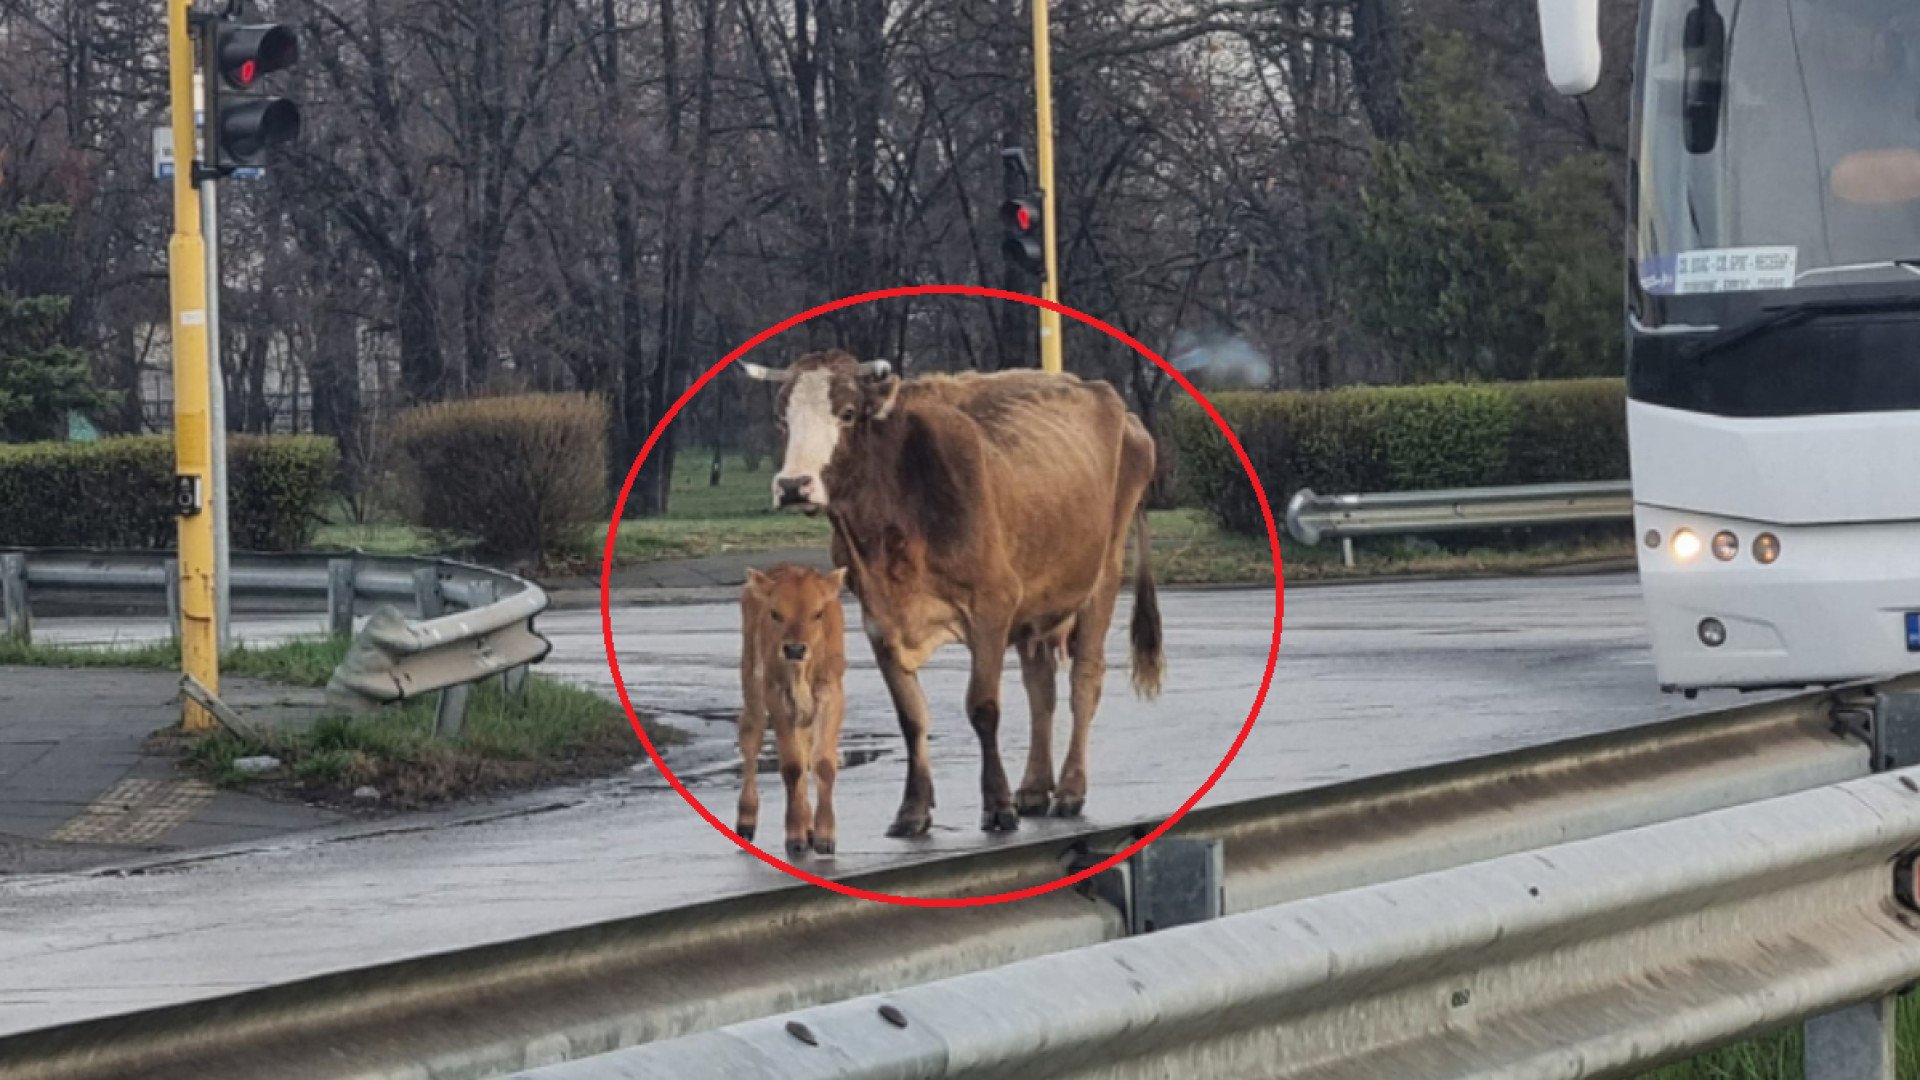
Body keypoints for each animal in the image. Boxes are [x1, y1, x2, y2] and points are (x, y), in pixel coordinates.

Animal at [737, 564, 852, 857]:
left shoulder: (831, 694)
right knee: (751, 739)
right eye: (775, 613)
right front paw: (795, 837)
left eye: (818, 612)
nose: (795, 649)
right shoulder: (776, 696)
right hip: (752, 687)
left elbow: (822, 762)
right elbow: (791, 766)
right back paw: (746, 822)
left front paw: (823, 836)